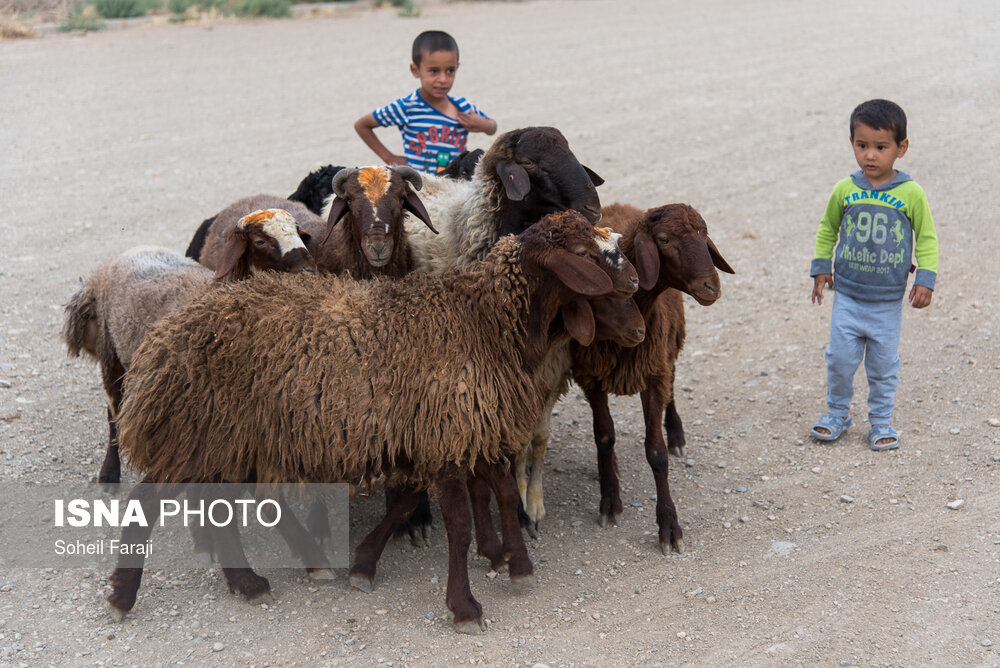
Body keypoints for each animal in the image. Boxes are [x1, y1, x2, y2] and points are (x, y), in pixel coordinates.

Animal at [63, 210, 312, 486]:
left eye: (299, 232)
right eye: (260, 241)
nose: (308, 269)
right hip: (111, 353)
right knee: (113, 413)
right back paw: (109, 472)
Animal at [109, 211, 640, 636]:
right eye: (583, 252)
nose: (635, 280)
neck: (483, 321)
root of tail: (166, 335)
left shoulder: (460, 430)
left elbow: (492, 495)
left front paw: (513, 565)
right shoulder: (445, 433)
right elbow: (459, 523)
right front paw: (465, 606)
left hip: (227, 439)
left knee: (215, 506)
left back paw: (248, 582)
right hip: (197, 431)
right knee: (148, 501)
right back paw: (123, 596)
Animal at [572, 202, 736, 552]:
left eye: (704, 232)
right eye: (664, 240)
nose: (712, 287)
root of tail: (620, 206)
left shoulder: (652, 373)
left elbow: (656, 453)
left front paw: (669, 526)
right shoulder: (591, 376)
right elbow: (604, 438)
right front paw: (609, 500)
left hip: (669, 347)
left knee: (672, 386)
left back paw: (676, 434)